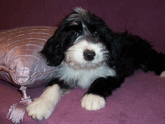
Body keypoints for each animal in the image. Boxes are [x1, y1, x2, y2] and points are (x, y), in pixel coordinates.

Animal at [26, 7, 165, 120]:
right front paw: (40, 105)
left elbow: (100, 80)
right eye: (75, 33)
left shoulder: (113, 72)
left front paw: (92, 97)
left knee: (155, 58)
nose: (89, 54)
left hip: (143, 54)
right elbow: (53, 86)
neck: (86, 68)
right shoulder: (64, 74)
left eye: (97, 33)